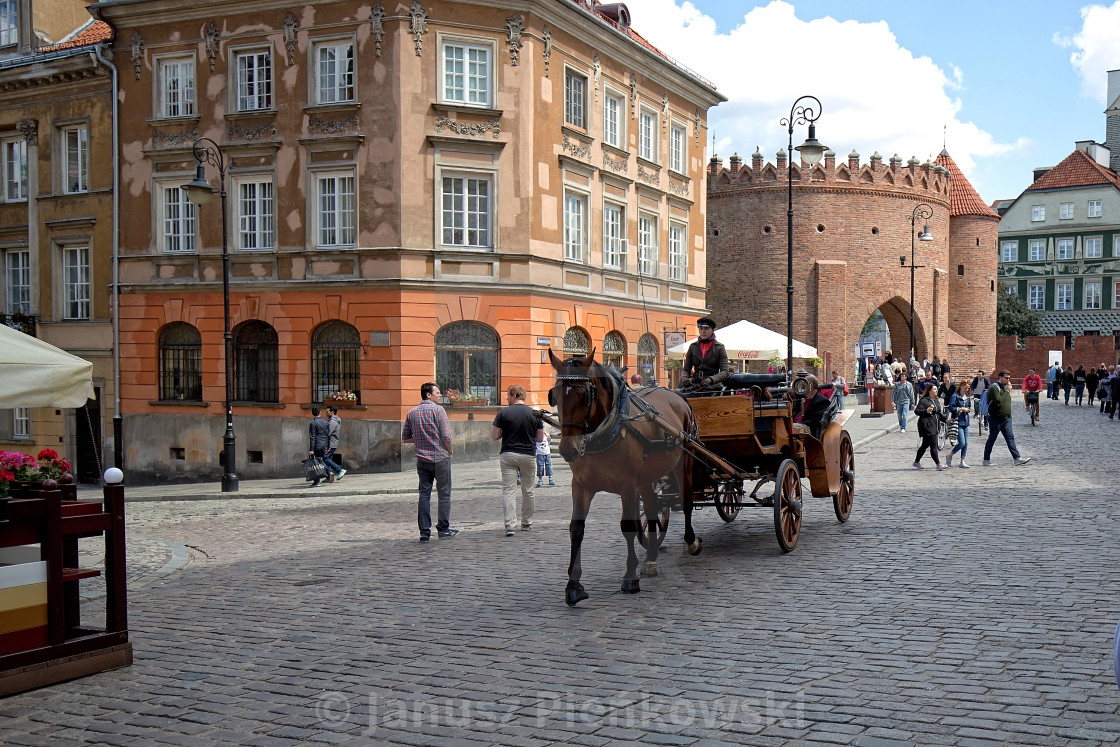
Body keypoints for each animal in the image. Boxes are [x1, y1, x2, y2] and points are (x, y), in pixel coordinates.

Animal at [544, 351, 698, 609]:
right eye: (554, 395)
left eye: (585, 396)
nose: (568, 449)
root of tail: (677, 395)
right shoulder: (581, 486)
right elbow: (576, 528)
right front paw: (574, 586)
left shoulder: (627, 486)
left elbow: (628, 527)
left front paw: (630, 577)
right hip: (647, 479)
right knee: (653, 509)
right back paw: (651, 557)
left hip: (682, 462)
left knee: (686, 500)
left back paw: (691, 542)